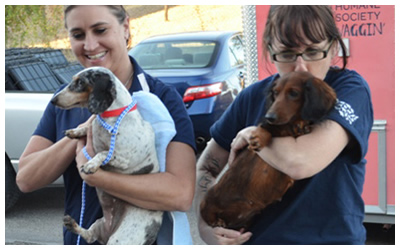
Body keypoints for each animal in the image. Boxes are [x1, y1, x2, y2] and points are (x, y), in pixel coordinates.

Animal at [50, 66, 162, 244]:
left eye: (80, 82)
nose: (53, 101)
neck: (110, 119)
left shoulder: (123, 159)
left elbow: (103, 153)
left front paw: (90, 165)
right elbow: (87, 127)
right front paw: (76, 131)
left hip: (120, 239)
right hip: (99, 223)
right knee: (89, 236)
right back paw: (72, 224)